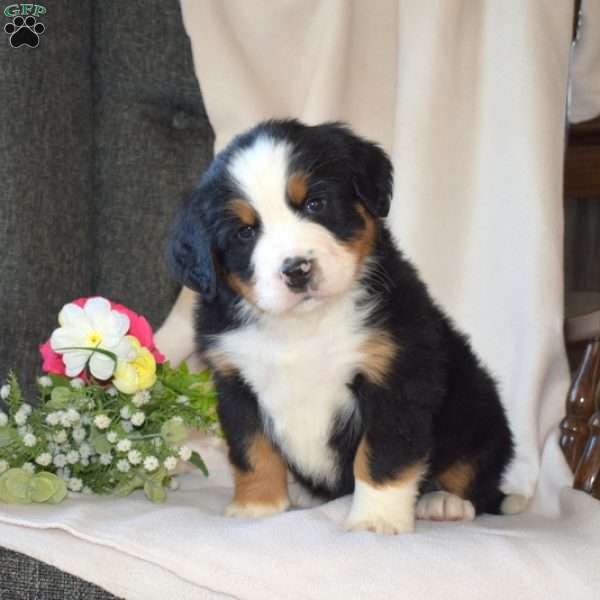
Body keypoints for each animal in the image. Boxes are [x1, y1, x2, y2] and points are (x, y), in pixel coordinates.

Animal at [168, 119, 520, 532]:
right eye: (245, 232)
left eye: (315, 204)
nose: (297, 269)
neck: (303, 326)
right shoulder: (235, 384)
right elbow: (251, 450)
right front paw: (257, 506)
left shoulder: (397, 375)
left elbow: (382, 456)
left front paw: (377, 520)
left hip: (479, 409)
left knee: (474, 477)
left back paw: (443, 501)